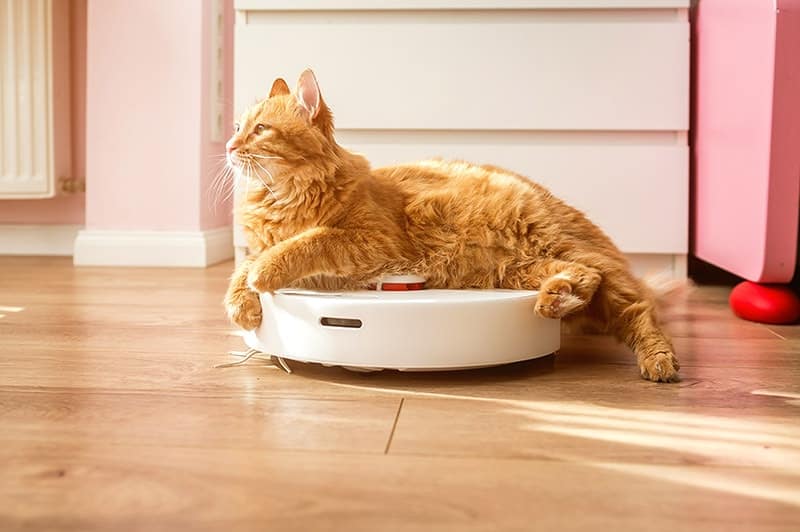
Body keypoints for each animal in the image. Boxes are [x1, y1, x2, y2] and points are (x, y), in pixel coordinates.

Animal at [223, 68, 680, 382]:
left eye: (260, 129)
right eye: (237, 127)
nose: (228, 145)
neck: (284, 197)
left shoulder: (370, 241)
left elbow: (304, 244)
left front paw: (264, 275)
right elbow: (242, 269)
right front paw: (243, 304)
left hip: (563, 251)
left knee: (637, 312)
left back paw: (659, 362)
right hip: (519, 270)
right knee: (586, 277)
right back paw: (556, 299)